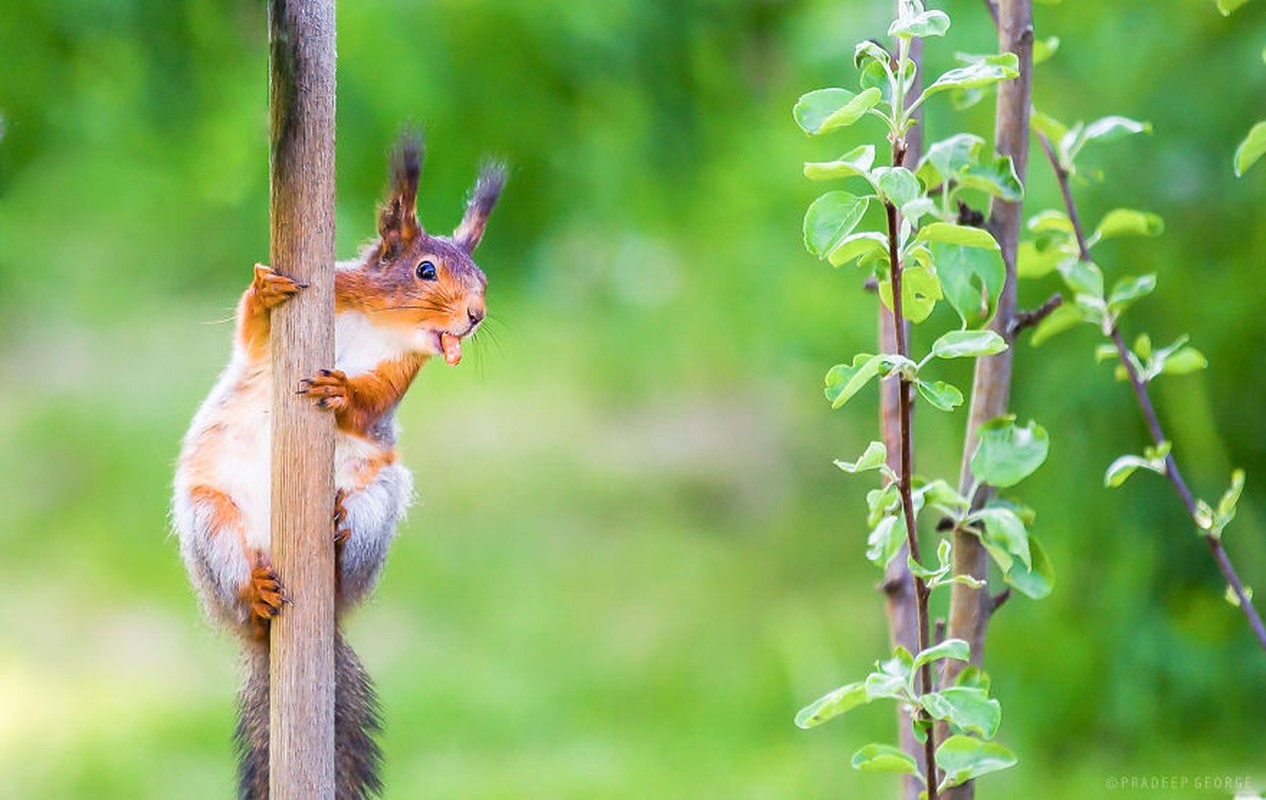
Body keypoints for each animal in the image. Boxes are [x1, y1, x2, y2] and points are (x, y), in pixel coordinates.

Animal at [172, 134, 503, 794]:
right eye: (425, 270)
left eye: (481, 277)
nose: (476, 315)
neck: (383, 323)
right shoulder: (312, 308)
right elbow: (253, 336)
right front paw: (266, 292)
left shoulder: (402, 374)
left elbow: (369, 404)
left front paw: (343, 392)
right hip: (209, 523)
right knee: (240, 584)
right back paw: (256, 591)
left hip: (379, 501)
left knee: (354, 543)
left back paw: (340, 530)